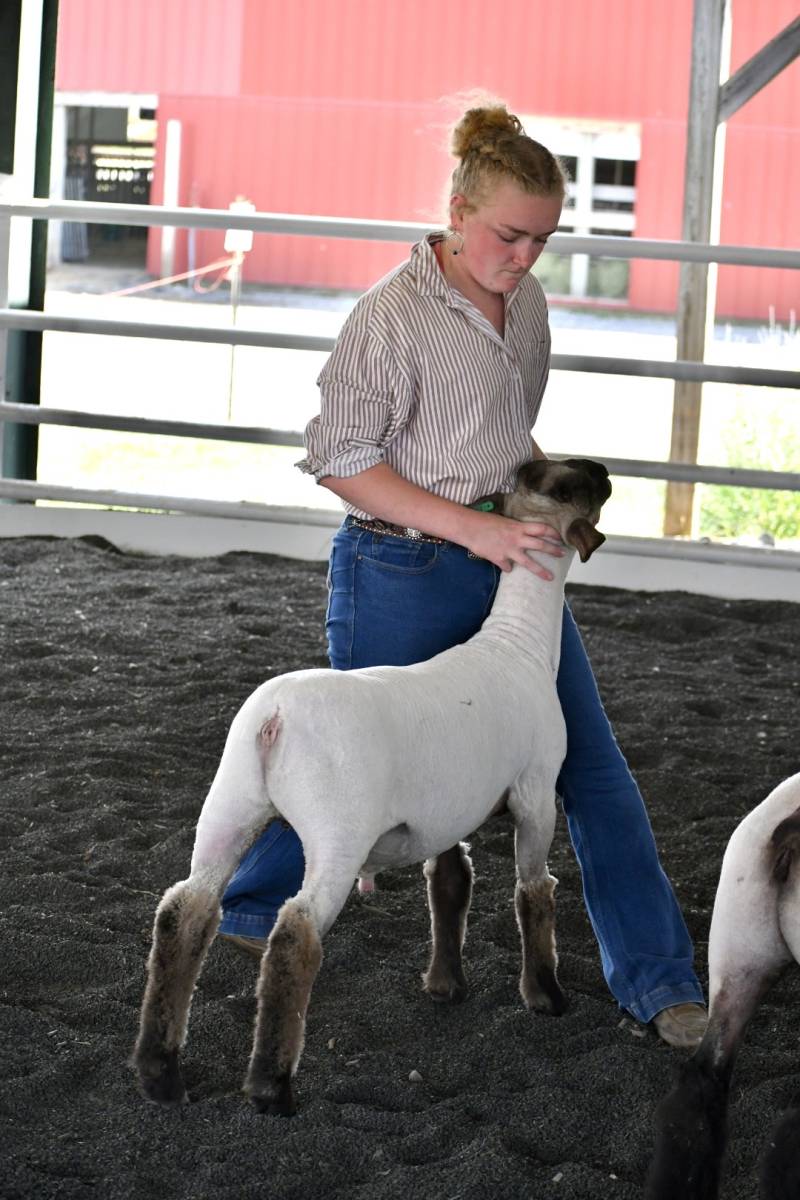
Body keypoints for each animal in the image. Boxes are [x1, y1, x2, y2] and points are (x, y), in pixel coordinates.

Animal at [131, 453, 609, 1108]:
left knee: (186, 910)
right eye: (566, 485)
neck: (519, 644)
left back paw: (160, 1071)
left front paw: (445, 984)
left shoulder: (444, 812)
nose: (606, 469)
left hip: (230, 805)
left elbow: (449, 883)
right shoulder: (536, 795)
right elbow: (533, 893)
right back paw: (270, 1085)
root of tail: (276, 718)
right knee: (295, 934)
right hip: (338, 833)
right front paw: (544, 995)